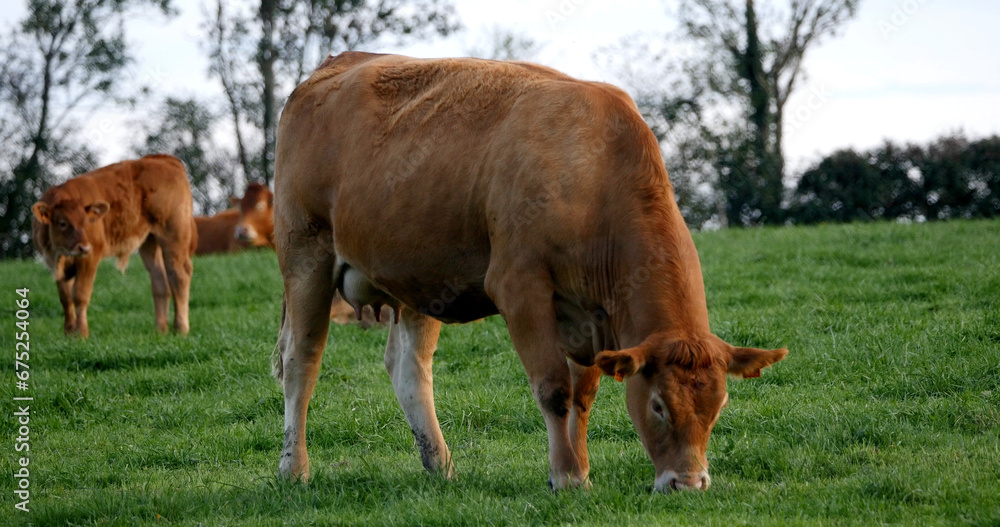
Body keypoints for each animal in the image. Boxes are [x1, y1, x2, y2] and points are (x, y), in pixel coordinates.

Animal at [32, 155, 196, 340]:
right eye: (62, 223)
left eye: (88, 222)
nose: (84, 247)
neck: (60, 254)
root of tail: (164, 159)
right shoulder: (56, 265)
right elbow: (66, 298)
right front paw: (68, 332)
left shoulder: (90, 258)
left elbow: (80, 295)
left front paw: (81, 333)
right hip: (149, 241)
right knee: (160, 281)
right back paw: (160, 330)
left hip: (174, 236)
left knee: (179, 275)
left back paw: (181, 329)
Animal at [274, 51, 788, 492]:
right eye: (659, 405)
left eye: (718, 406)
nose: (689, 482)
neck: (593, 173)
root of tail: (337, 64)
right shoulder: (520, 288)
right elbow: (553, 388)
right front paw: (566, 476)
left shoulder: (588, 320)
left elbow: (582, 396)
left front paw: (580, 469)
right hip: (305, 254)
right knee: (302, 362)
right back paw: (294, 469)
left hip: (419, 278)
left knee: (409, 370)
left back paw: (441, 466)